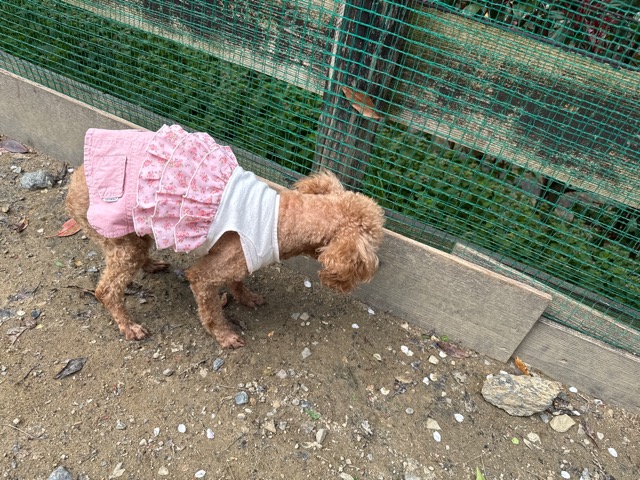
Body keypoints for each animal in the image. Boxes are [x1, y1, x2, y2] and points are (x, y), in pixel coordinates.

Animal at [65, 125, 384, 348]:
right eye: (374, 243)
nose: (377, 268)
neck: (284, 218)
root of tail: (74, 180)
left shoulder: (239, 257)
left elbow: (237, 280)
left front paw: (246, 297)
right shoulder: (206, 275)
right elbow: (209, 308)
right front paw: (225, 336)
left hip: (136, 234)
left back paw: (152, 265)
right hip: (117, 235)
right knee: (107, 289)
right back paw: (129, 326)